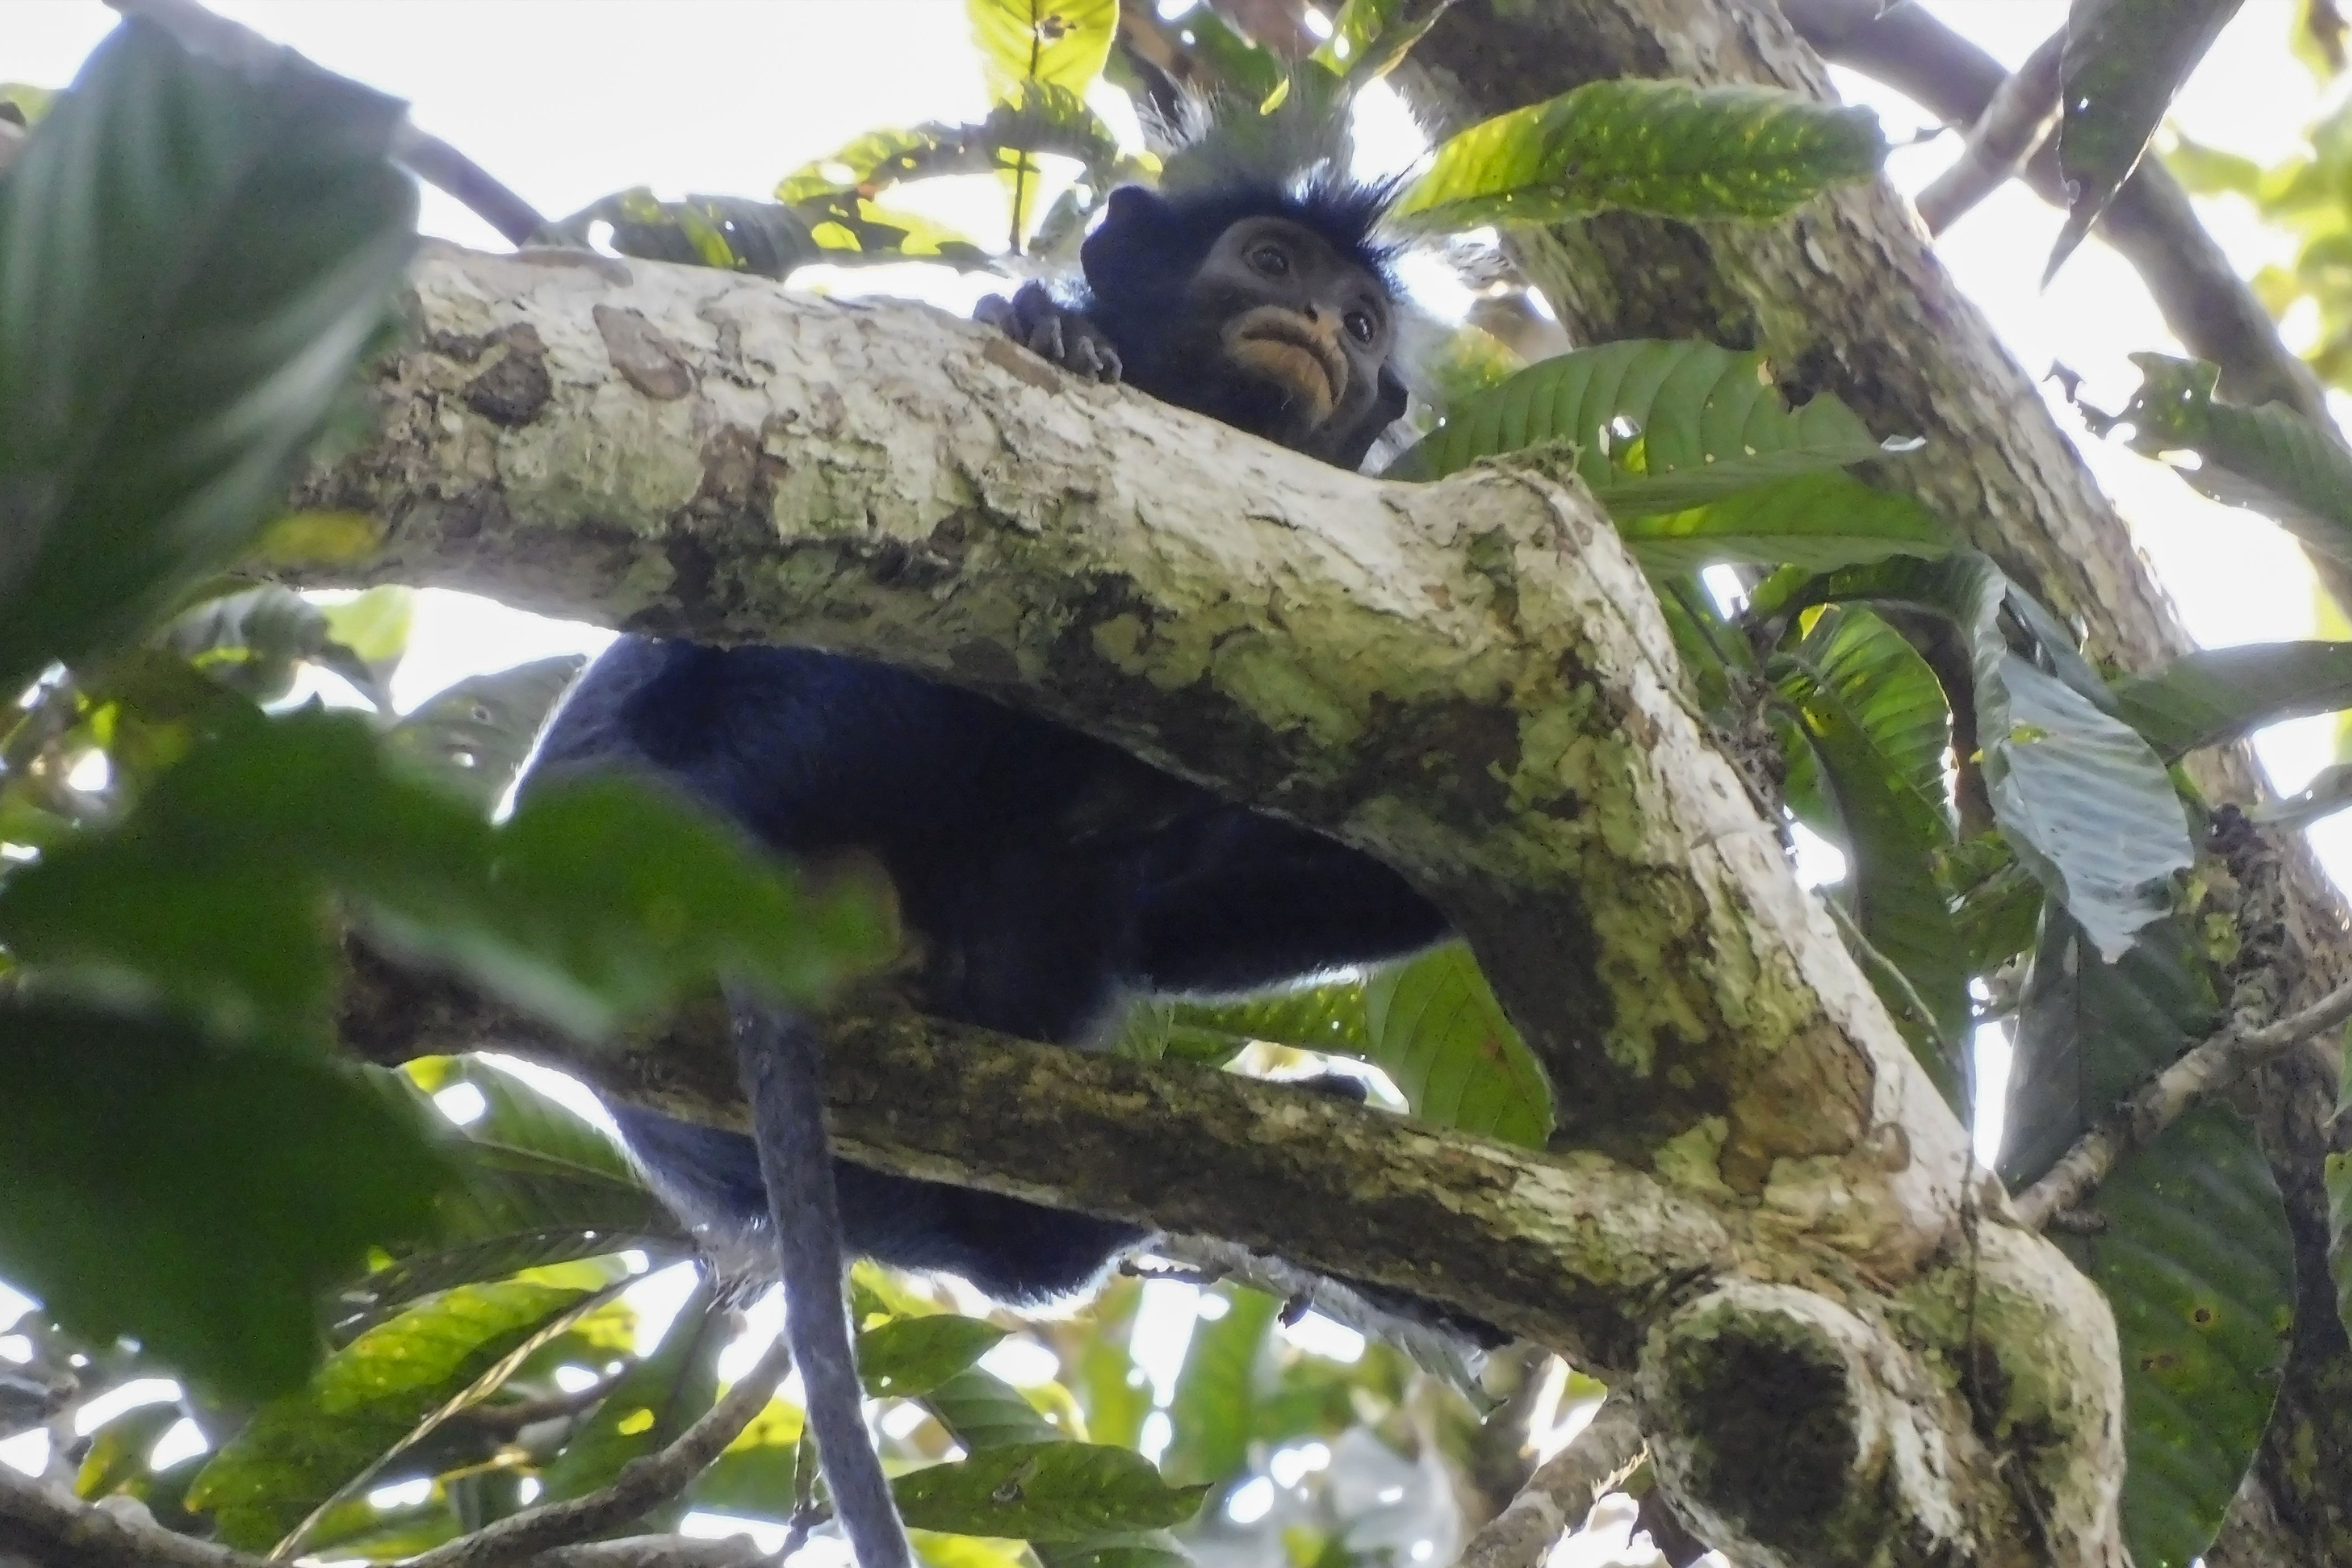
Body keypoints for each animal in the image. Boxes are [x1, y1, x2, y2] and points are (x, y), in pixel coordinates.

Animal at [524, 158, 1437, 1568]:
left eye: (1361, 321)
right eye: (1271, 262)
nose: (1319, 330)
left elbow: (1174, 913)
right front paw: (1044, 327)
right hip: (812, 713)